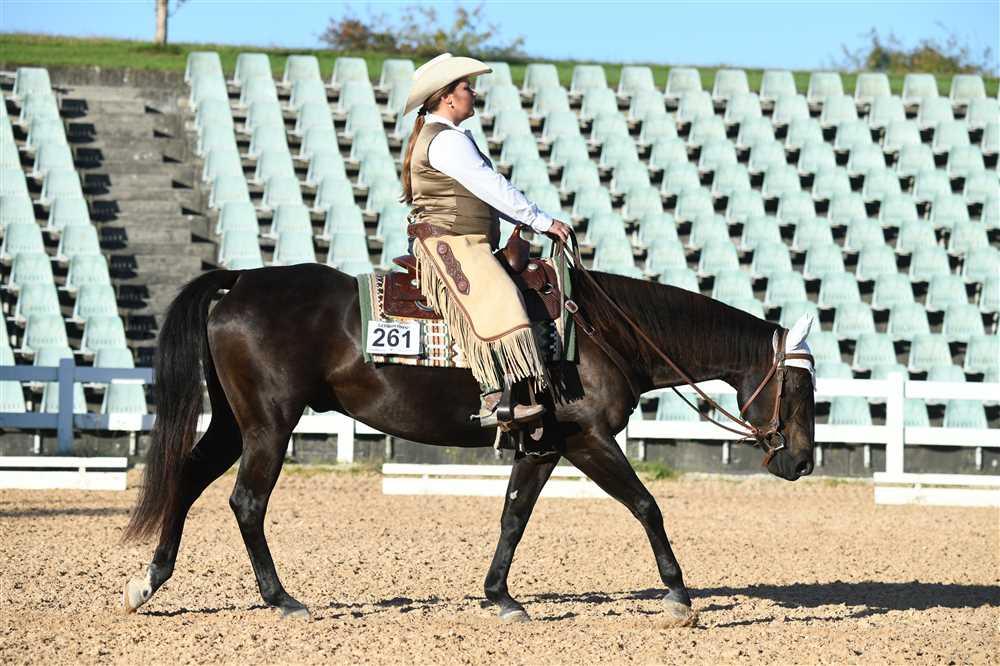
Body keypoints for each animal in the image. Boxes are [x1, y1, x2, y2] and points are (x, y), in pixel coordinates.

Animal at [121, 262, 816, 626]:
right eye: (799, 386)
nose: (804, 461)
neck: (598, 332)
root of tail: (239, 281)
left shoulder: (542, 445)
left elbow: (513, 516)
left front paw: (501, 597)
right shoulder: (587, 439)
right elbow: (647, 506)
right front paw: (679, 596)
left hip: (234, 423)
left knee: (187, 479)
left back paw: (148, 582)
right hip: (268, 425)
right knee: (246, 503)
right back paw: (282, 600)